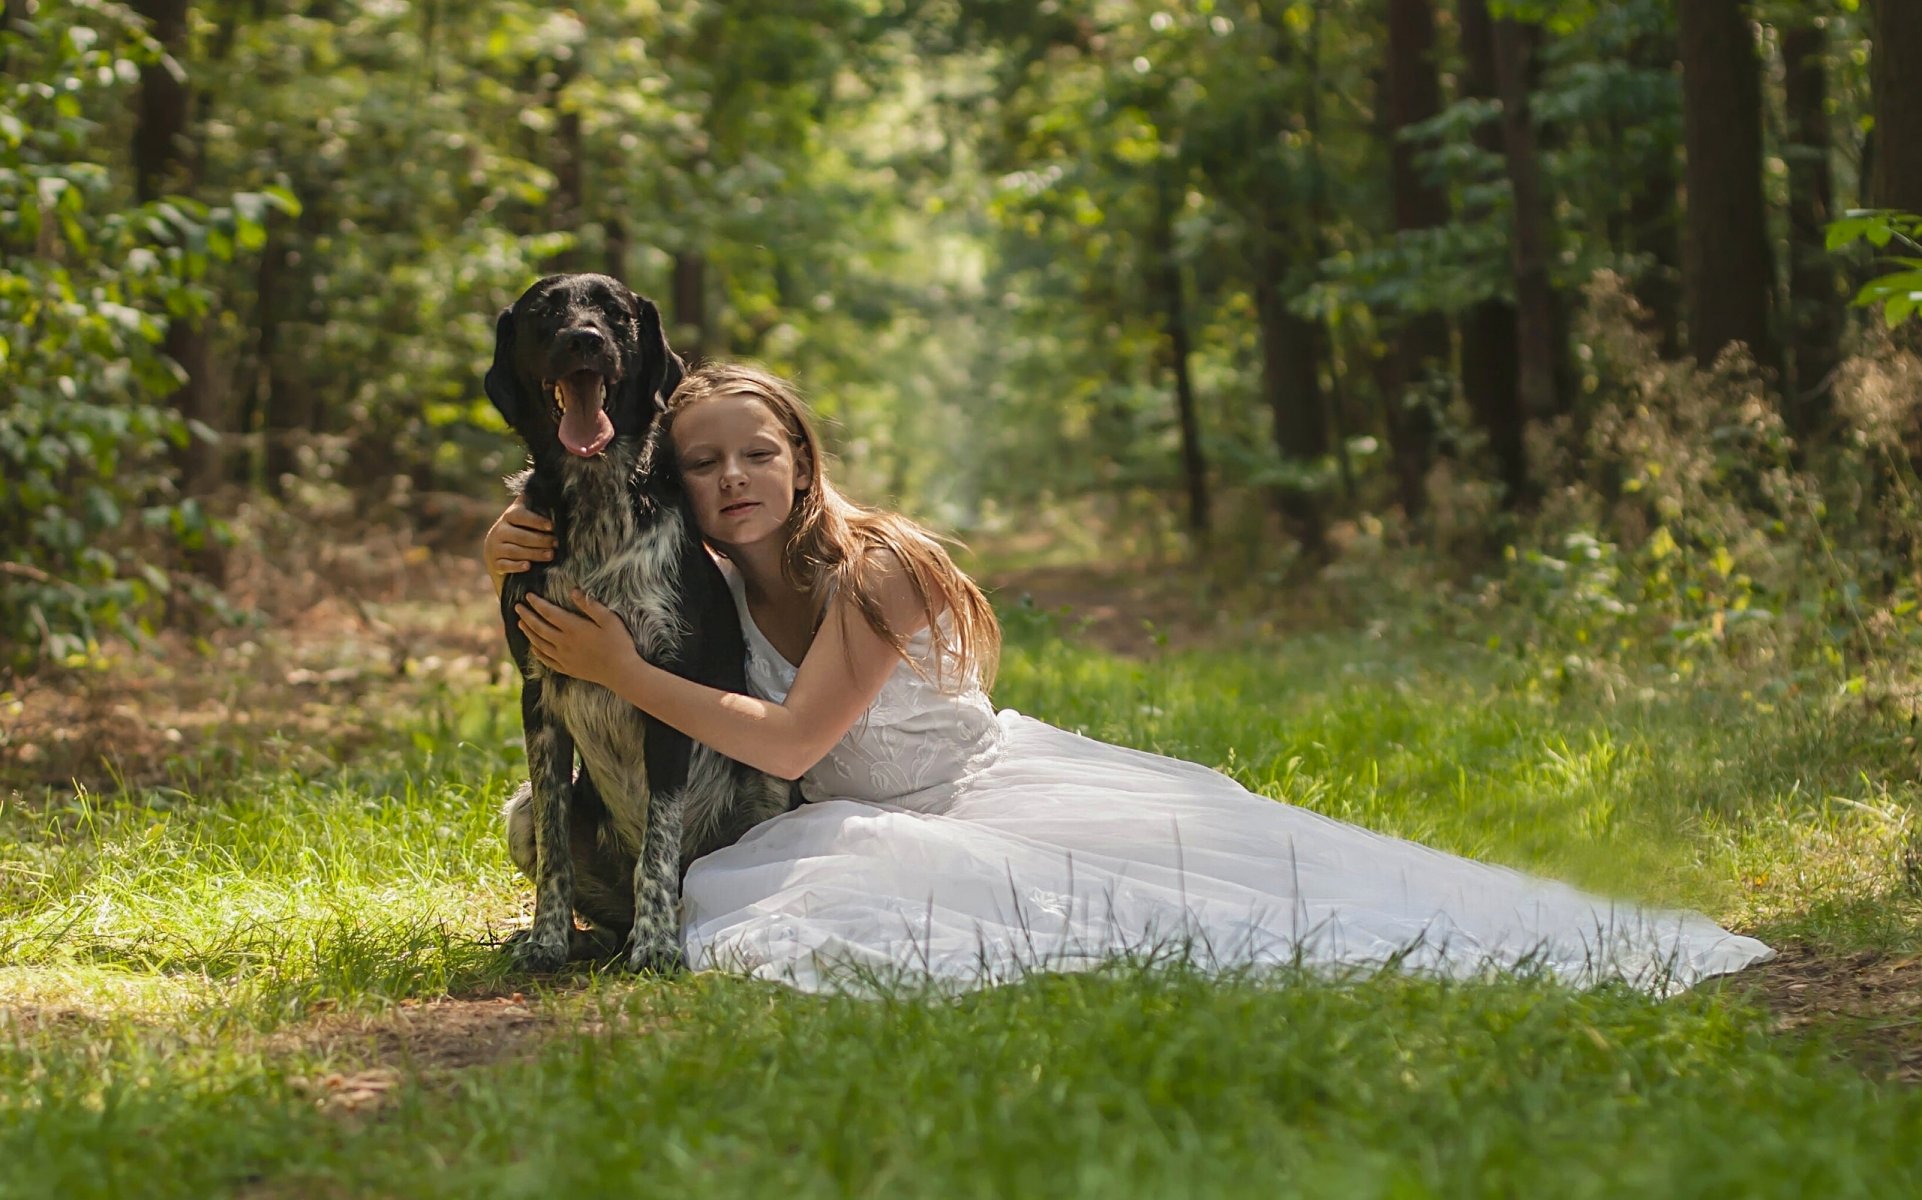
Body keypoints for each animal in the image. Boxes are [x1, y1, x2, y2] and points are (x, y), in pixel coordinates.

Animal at [488, 275, 788, 976]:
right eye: (545, 311)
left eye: (615, 313)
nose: (584, 339)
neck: (597, 499)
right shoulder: (538, 694)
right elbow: (556, 855)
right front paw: (545, 941)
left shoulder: (666, 687)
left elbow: (659, 841)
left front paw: (657, 946)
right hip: (518, 809)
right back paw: (586, 938)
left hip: (769, 782)